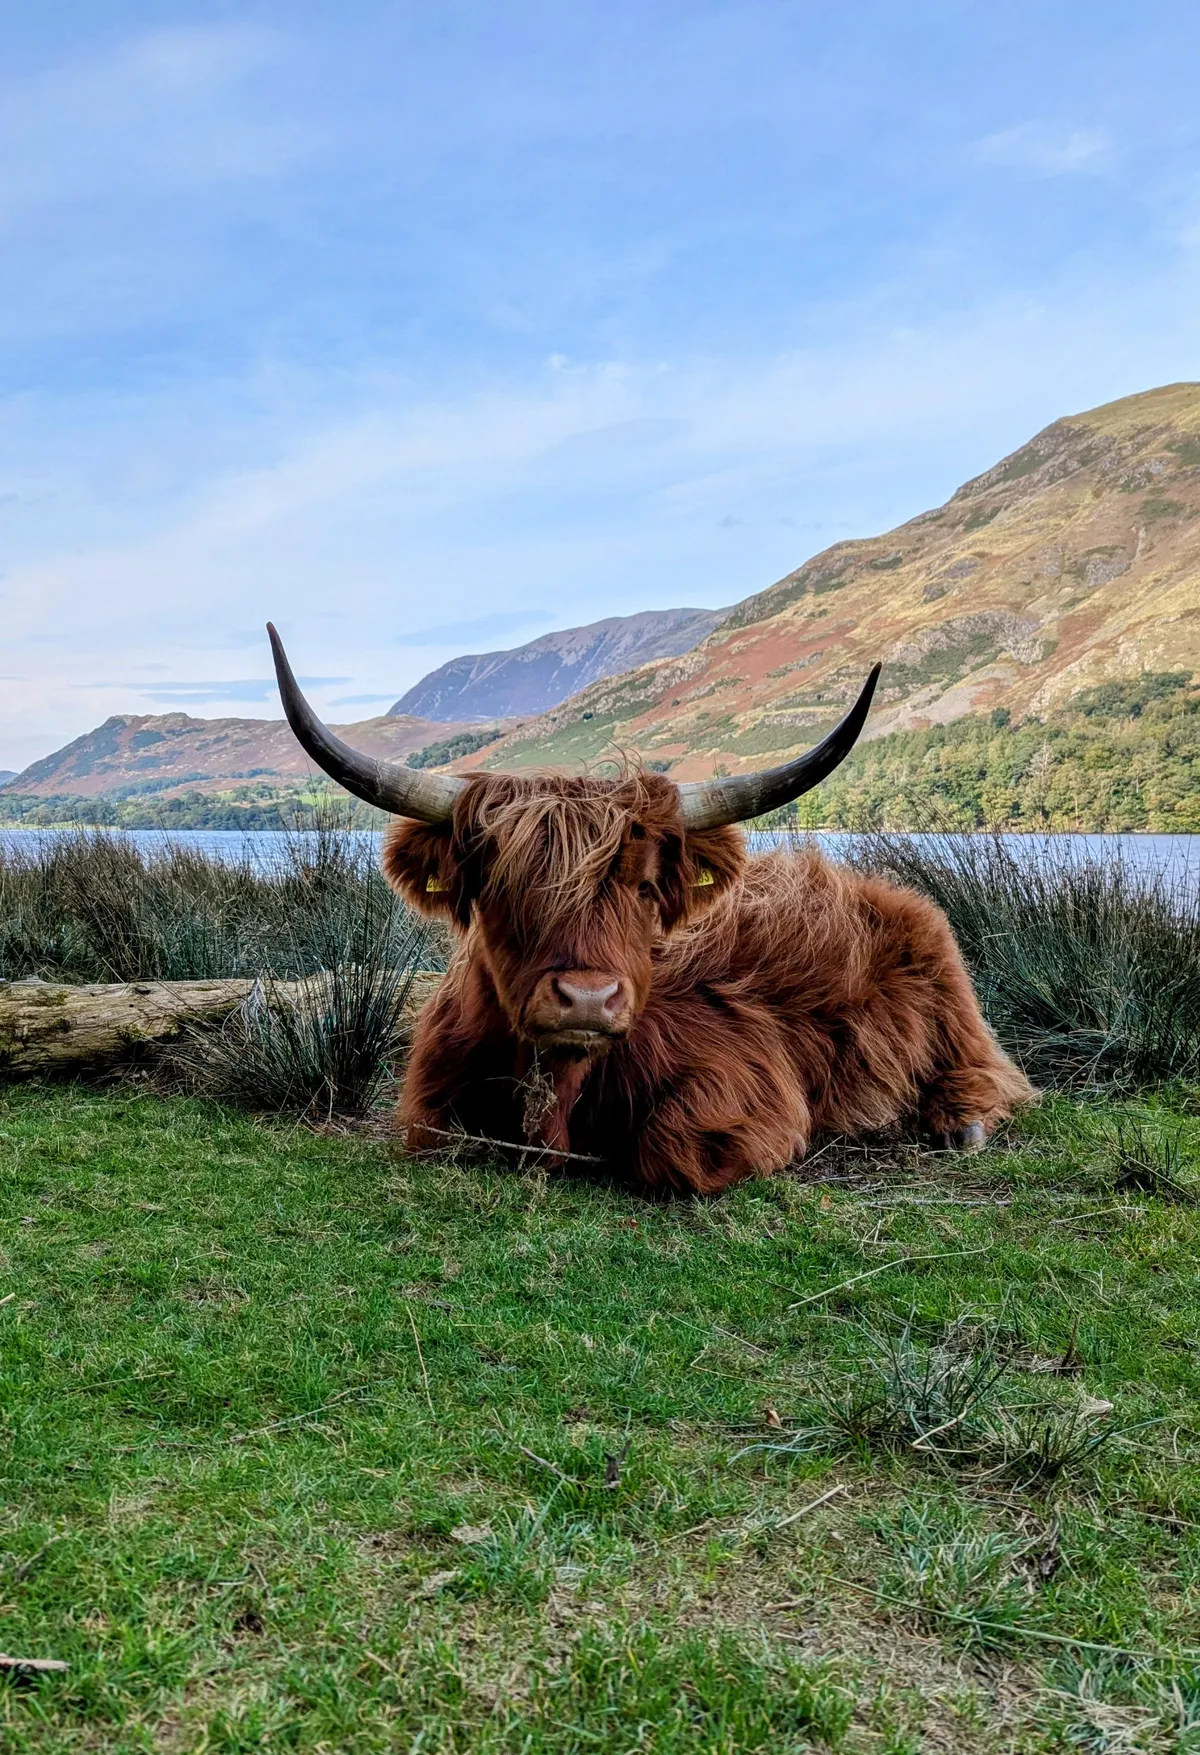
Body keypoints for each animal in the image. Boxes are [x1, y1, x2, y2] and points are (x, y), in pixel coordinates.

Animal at [268, 625, 1032, 1194]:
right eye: (503, 882)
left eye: (643, 886)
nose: (586, 998)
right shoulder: (430, 1107)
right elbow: (442, 1133)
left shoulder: (747, 1077)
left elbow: (674, 1149)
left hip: (949, 994)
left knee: (992, 1071)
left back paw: (958, 1120)